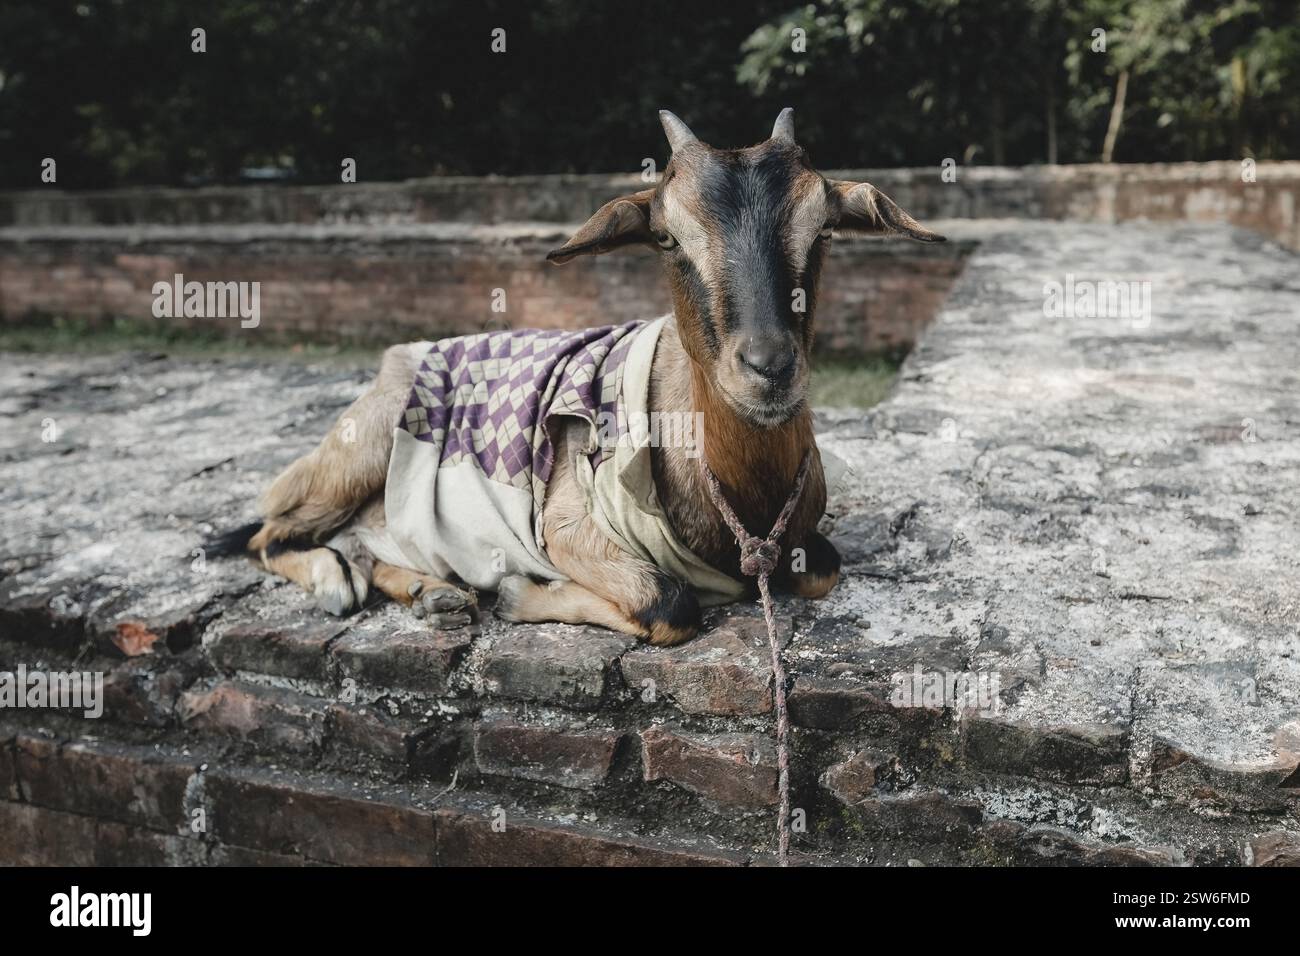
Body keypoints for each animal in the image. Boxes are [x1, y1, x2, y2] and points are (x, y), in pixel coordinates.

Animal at [209, 109, 945, 646]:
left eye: (823, 232)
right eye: (668, 238)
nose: (768, 370)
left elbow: (823, 568)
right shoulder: (563, 526)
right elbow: (668, 601)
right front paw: (514, 592)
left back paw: (435, 594)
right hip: (354, 453)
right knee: (272, 530)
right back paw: (343, 583)